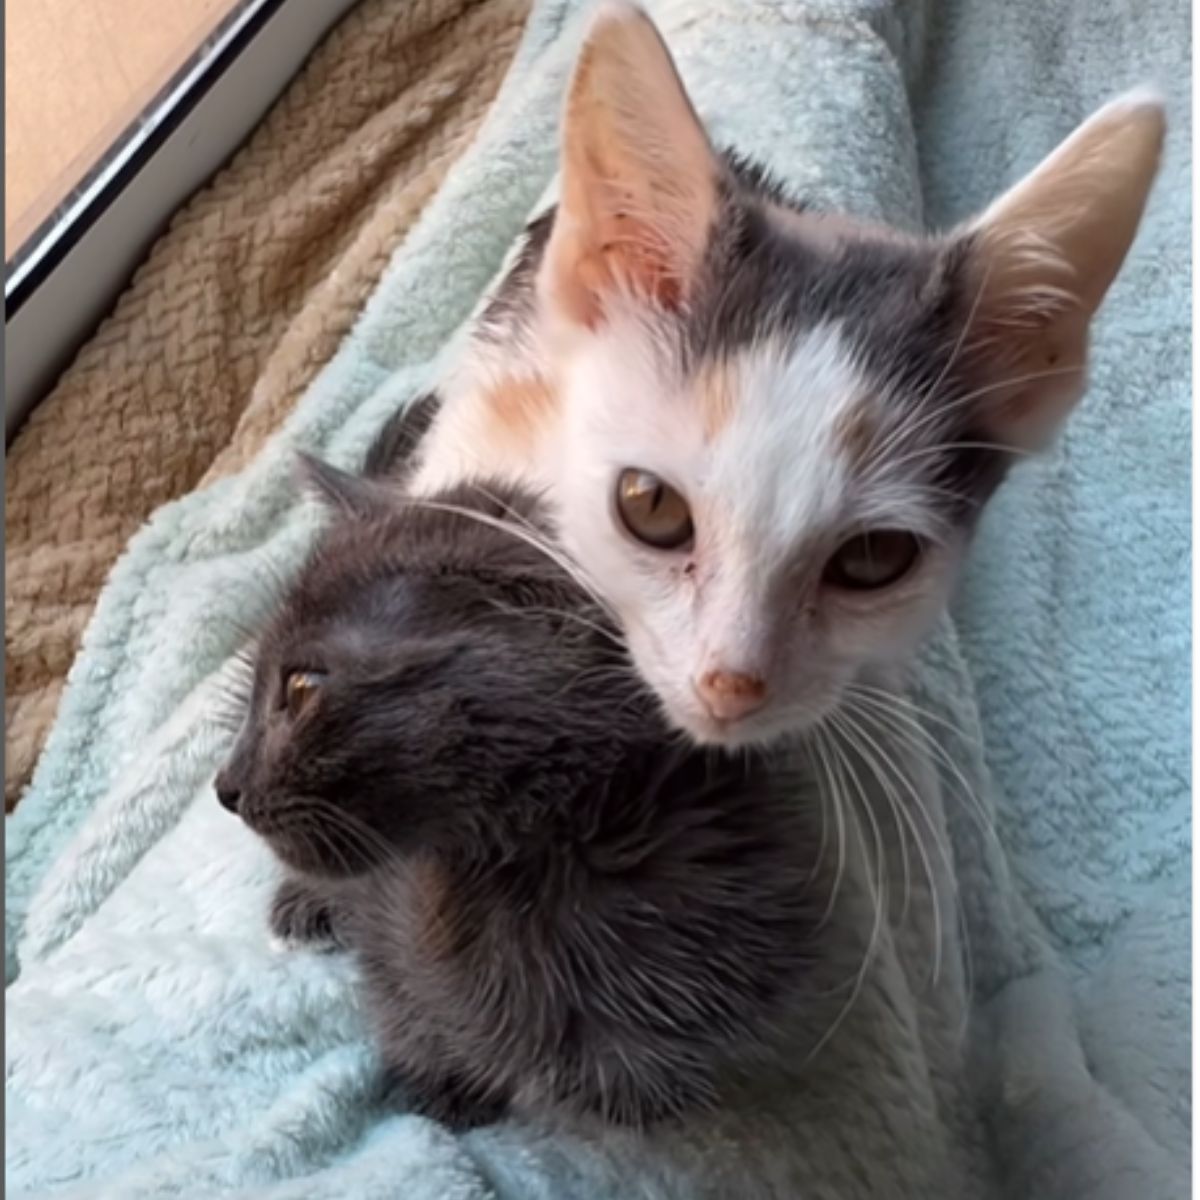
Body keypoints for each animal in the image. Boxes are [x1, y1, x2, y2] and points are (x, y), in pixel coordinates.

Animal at [216, 446, 820, 1128]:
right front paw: (444, 1086)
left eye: (302, 687)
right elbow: (407, 1005)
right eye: (277, 681)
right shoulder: (389, 931)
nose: (226, 787)